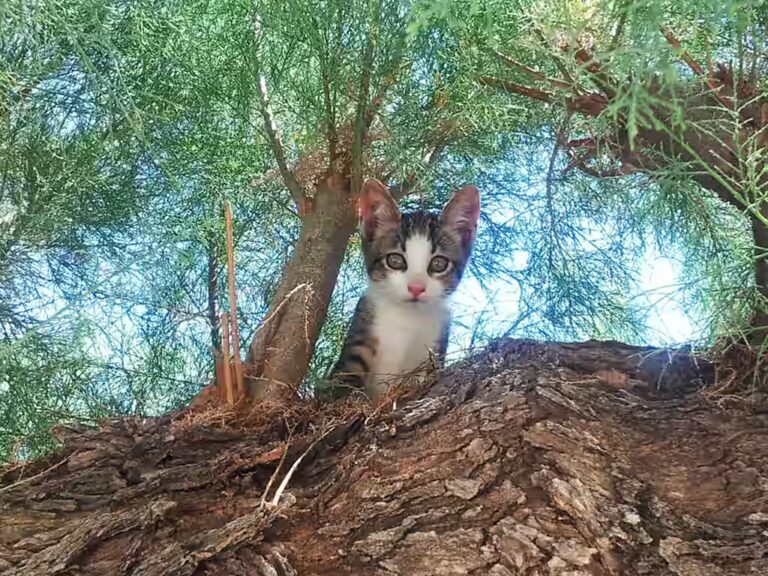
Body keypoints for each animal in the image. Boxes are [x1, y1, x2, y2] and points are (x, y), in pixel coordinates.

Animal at [326, 178, 480, 402]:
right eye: (395, 260)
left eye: (438, 264)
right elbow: (345, 380)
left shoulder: (436, 345)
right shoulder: (362, 330)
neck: (408, 318)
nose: (416, 288)